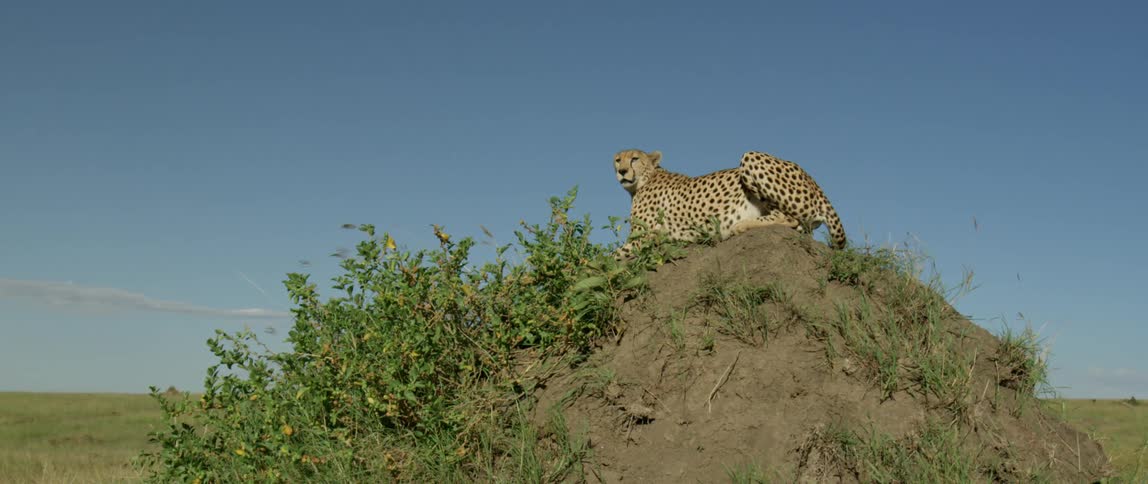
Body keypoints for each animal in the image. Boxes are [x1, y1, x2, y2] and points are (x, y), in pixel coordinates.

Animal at [612, 148, 846, 259]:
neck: (646, 178)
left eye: (634, 159)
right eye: (617, 160)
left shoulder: (643, 239)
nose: (621, 171)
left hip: (751, 157)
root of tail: (814, 182)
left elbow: (608, 259)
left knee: (790, 219)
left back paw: (740, 225)